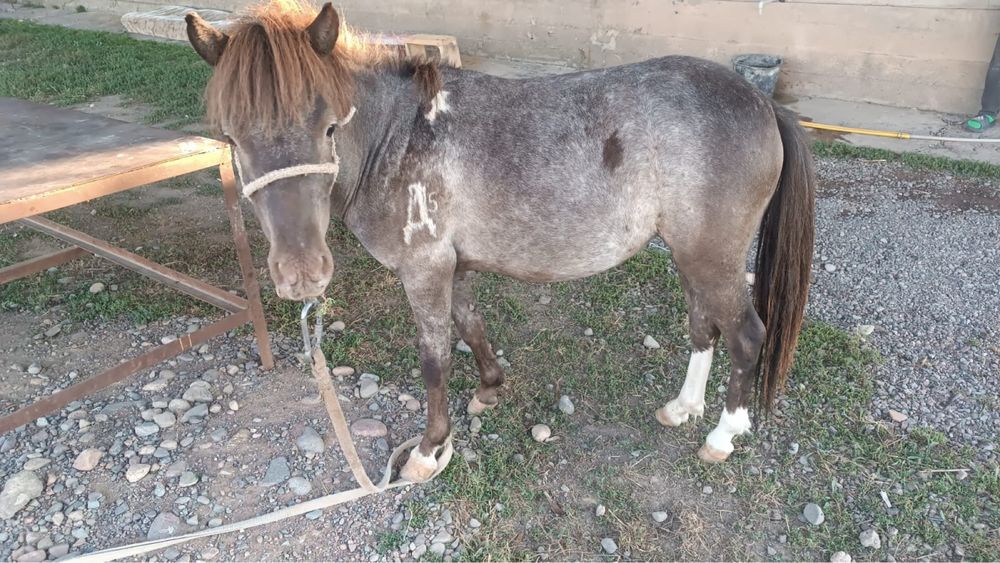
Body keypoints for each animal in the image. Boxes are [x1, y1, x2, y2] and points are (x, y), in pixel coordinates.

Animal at [184, 0, 815, 483]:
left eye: (329, 127)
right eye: (231, 137)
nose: (302, 274)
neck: (400, 135)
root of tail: (763, 102)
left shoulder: (424, 271)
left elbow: (434, 357)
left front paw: (429, 450)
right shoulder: (453, 267)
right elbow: (471, 325)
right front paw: (490, 389)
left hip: (713, 258)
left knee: (746, 336)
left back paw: (722, 435)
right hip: (693, 256)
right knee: (704, 327)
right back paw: (682, 408)